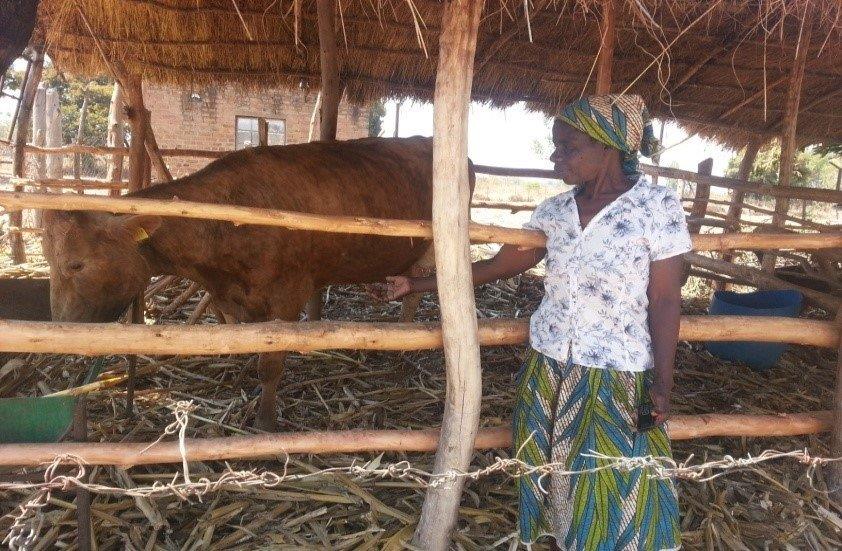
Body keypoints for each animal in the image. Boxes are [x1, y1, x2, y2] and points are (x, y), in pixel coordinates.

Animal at [44, 138, 472, 432]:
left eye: (75, 264)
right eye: (49, 260)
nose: (61, 327)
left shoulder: (287, 296)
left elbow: (271, 365)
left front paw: (266, 422)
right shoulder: (233, 300)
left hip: (434, 248)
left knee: (417, 296)